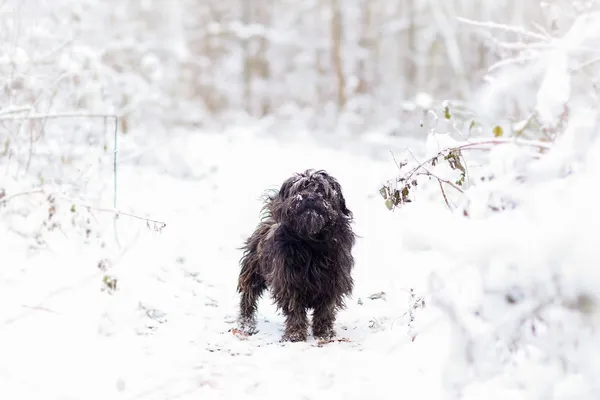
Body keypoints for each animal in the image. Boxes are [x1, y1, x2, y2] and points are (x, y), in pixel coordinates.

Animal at [236, 168, 356, 340]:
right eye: (301, 188)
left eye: (321, 189)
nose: (310, 198)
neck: (312, 242)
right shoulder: (288, 281)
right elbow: (295, 309)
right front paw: (295, 334)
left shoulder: (333, 281)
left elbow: (325, 309)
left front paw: (324, 333)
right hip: (254, 271)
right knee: (248, 295)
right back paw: (246, 323)